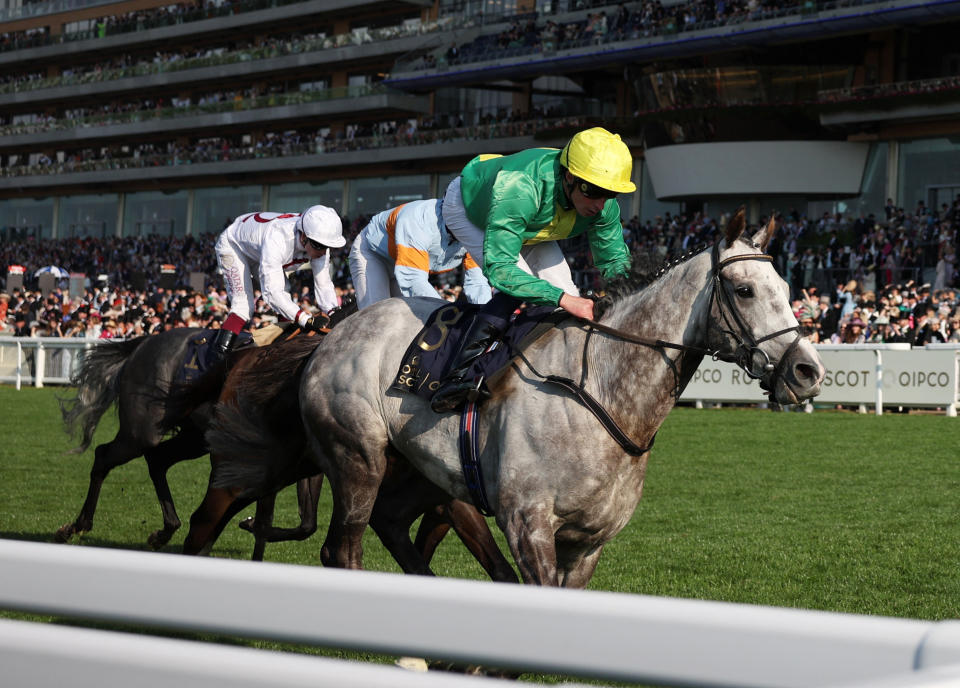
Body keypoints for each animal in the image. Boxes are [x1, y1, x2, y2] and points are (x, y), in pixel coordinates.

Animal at [294, 208, 824, 584]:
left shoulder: (588, 542)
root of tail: (337, 330)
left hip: (422, 473)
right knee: (342, 550)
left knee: (389, 524)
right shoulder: (527, 525)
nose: (808, 371)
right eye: (744, 290)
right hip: (357, 459)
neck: (602, 392)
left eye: (786, 288)